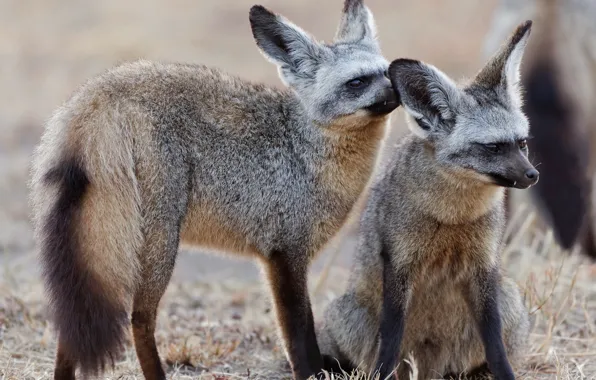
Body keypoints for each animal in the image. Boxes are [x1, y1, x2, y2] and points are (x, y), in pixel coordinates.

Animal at [29, 0, 400, 380]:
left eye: (387, 72)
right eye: (357, 82)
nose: (400, 90)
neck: (304, 148)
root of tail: (99, 96)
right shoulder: (285, 255)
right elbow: (300, 338)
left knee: (73, 326)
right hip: (157, 247)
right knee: (139, 319)